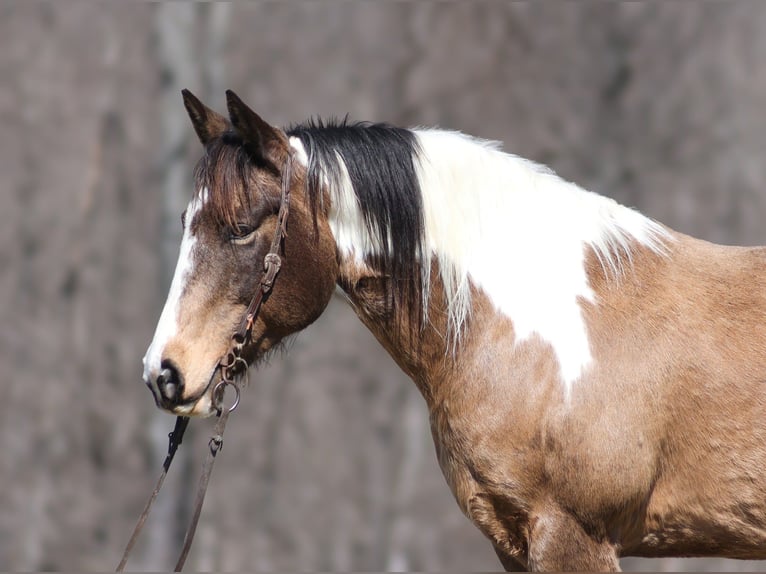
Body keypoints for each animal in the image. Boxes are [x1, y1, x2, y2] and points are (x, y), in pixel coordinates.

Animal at [142, 89, 766, 571]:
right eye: (185, 222)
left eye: (243, 228)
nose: (163, 373)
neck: (534, 333)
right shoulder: (513, 545)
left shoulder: (574, 538)